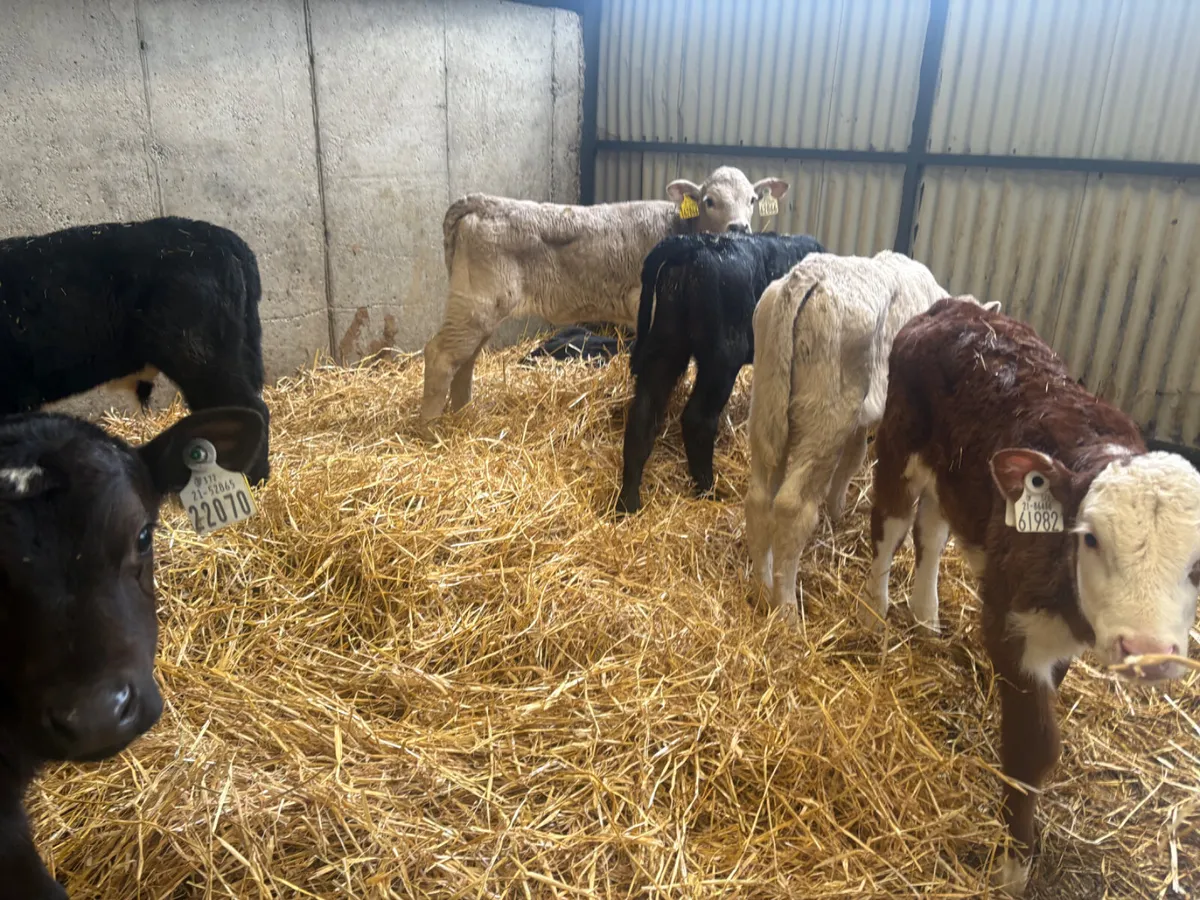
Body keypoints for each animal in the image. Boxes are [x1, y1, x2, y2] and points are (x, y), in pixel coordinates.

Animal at [419, 167, 791, 433]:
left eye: (752, 200)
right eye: (710, 200)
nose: (739, 228)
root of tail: (484, 201)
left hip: (481, 309)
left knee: (466, 359)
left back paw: (463, 415)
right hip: (474, 304)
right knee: (441, 356)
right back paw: (430, 431)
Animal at [615, 231, 823, 514]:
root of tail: (689, 244)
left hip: (667, 345)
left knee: (643, 414)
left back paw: (628, 503)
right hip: (721, 358)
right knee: (697, 418)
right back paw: (707, 489)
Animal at [744, 250, 1000, 619]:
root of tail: (805, 277)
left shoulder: (860, 421)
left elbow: (852, 461)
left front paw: (837, 510)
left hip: (767, 409)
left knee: (759, 497)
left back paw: (761, 584)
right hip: (826, 419)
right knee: (793, 508)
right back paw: (786, 608)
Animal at [864, 298, 1200, 895]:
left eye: (1199, 564)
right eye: (1090, 538)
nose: (1148, 654)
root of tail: (958, 306)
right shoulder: (1009, 619)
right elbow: (1033, 746)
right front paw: (1014, 867)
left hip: (955, 478)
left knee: (933, 531)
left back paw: (925, 620)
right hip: (900, 443)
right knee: (890, 525)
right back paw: (875, 617)